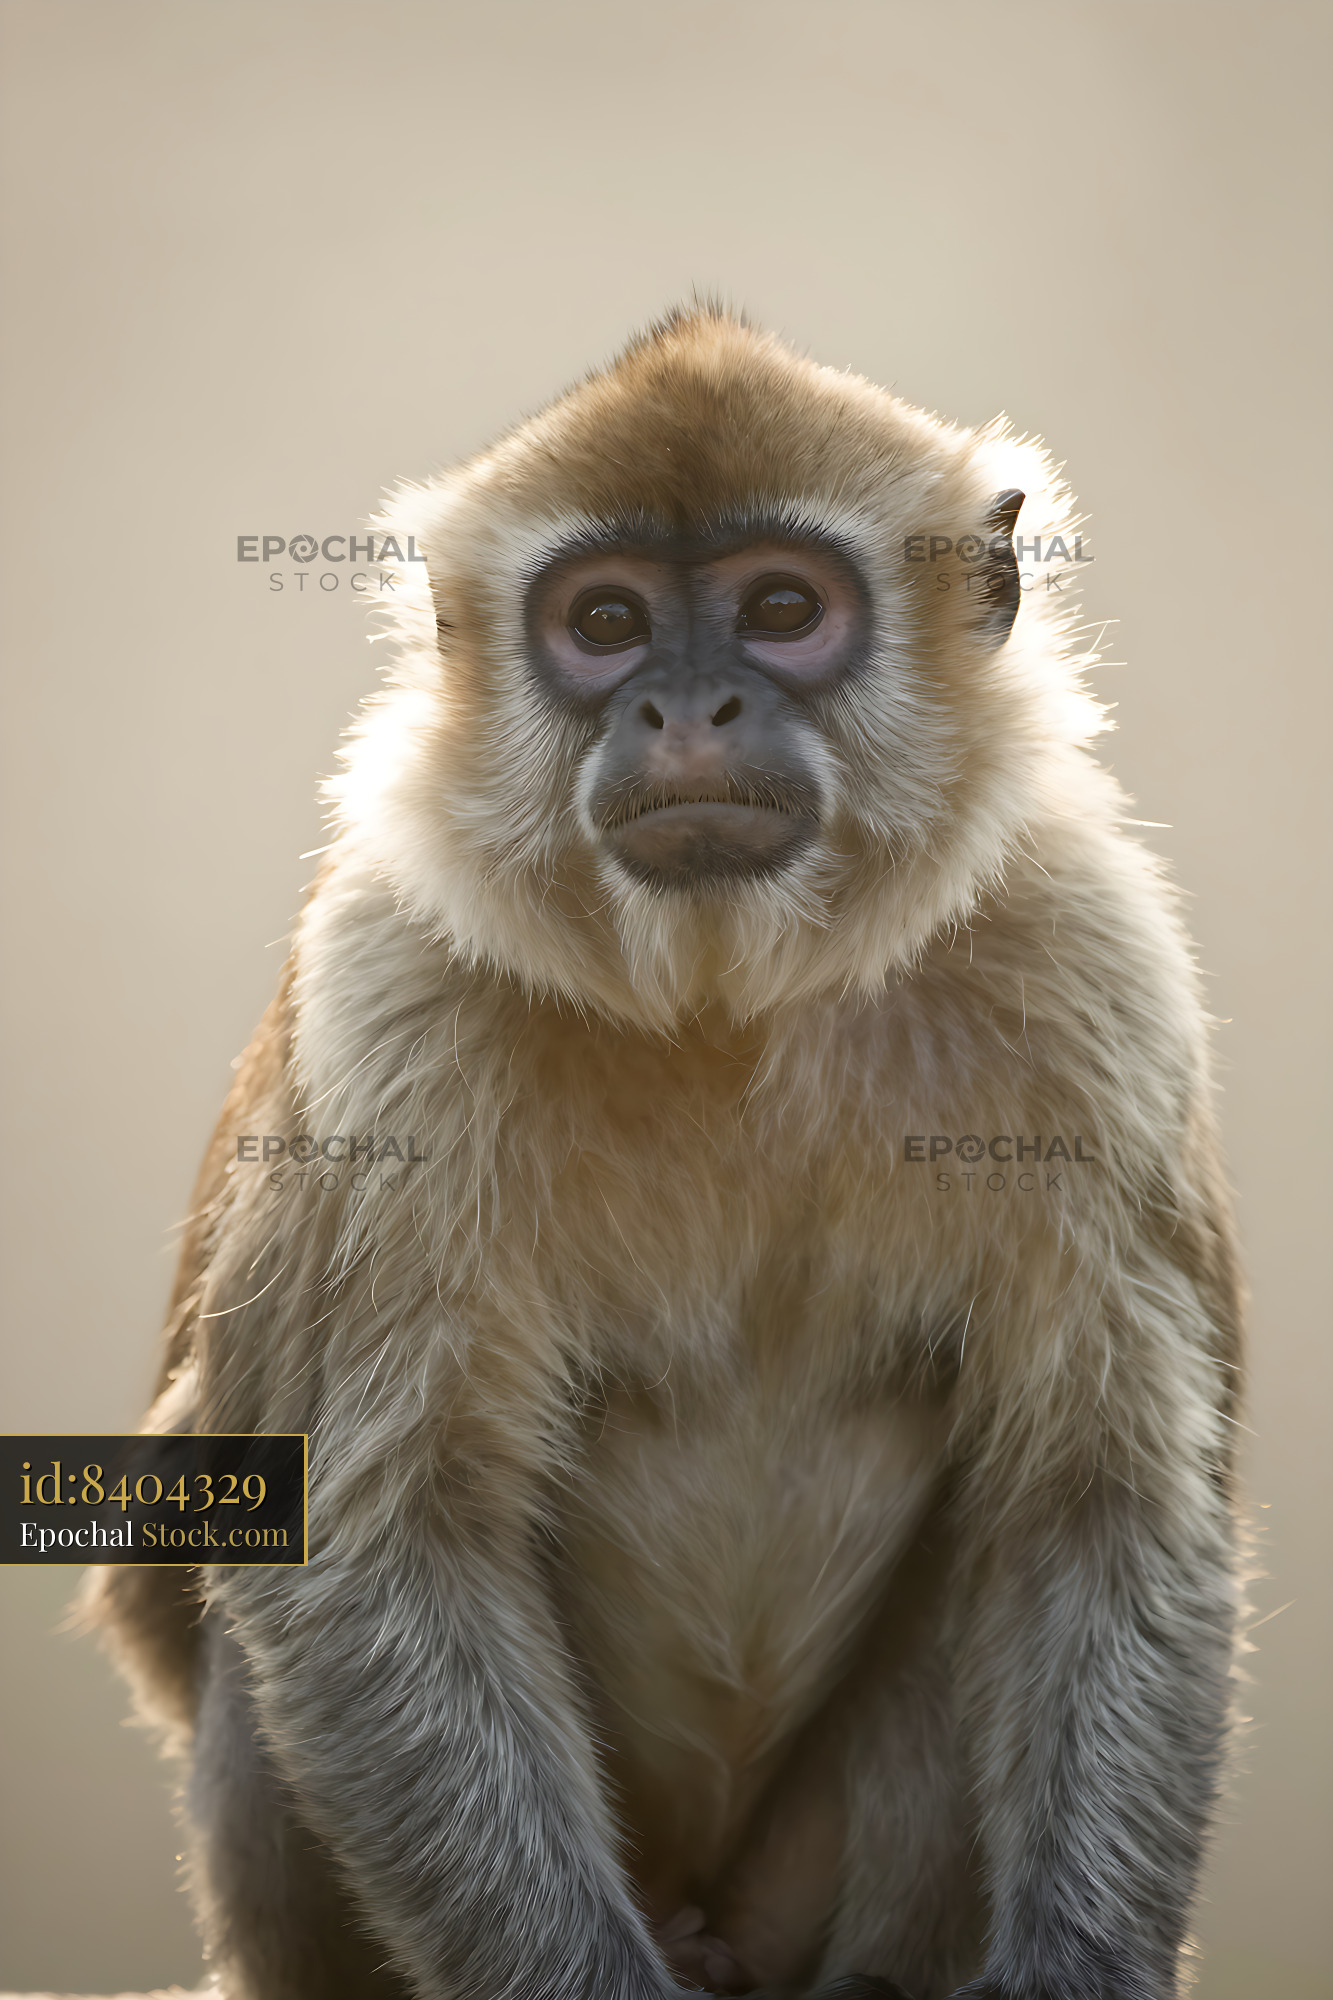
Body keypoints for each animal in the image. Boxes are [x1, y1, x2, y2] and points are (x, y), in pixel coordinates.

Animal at [83, 306, 1243, 2000]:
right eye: (608, 622)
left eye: (781, 608)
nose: (685, 710)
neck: (727, 1002)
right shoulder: (387, 976)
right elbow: (354, 1555)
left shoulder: (1092, 954)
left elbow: (1102, 1513)